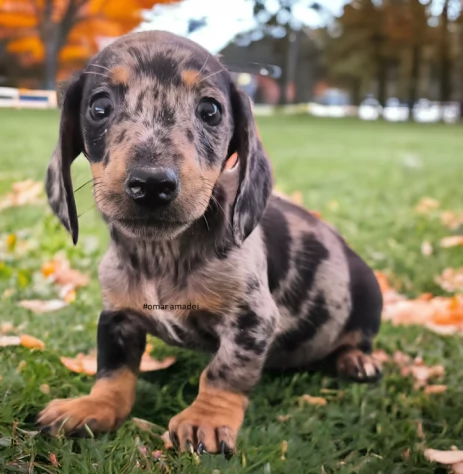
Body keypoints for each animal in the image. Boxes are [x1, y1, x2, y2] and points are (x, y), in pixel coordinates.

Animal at [37, 29, 384, 456]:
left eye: (210, 110)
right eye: (99, 106)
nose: (151, 184)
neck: (163, 254)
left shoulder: (251, 320)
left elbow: (223, 371)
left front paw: (207, 418)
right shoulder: (116, 317)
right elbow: (113, 371)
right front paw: (93, 406)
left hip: (368, 298)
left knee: (358, 340)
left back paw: (357, 360)